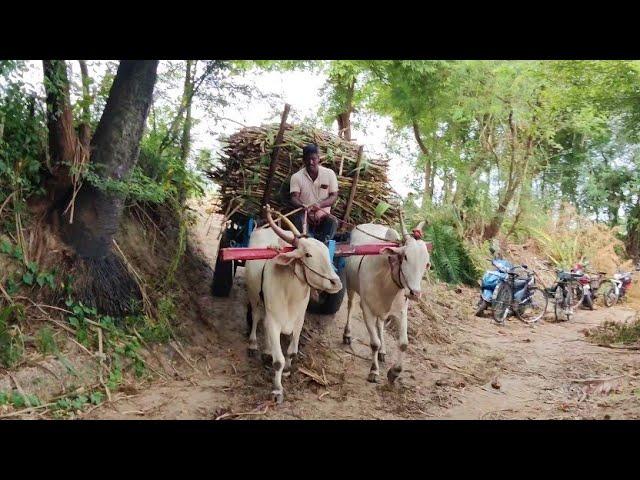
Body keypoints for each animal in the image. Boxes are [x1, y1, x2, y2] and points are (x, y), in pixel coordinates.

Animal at [246, 204, 344, 404]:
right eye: (308, 254)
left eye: (327, 252)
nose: (336, 283)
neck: (290, 294)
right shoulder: (274, 321)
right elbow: (278, 360)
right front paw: (277, 390)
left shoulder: (298, 321)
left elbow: (291, 352)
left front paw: (287, 372)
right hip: (254, 296)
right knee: (256, 316)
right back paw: (253, 344)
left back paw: (266, 350)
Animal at [344, 220, 430, 382]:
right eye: (406, 257)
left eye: (427, 264)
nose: (415, 293)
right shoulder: (367, 309)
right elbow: (374, 343)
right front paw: (374, 371)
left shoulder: (401, 312)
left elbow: (403, 344)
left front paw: (395, 371)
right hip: (350, 286)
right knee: (350, 306)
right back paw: (347, 334)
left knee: (380, 324)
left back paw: (383, 352)